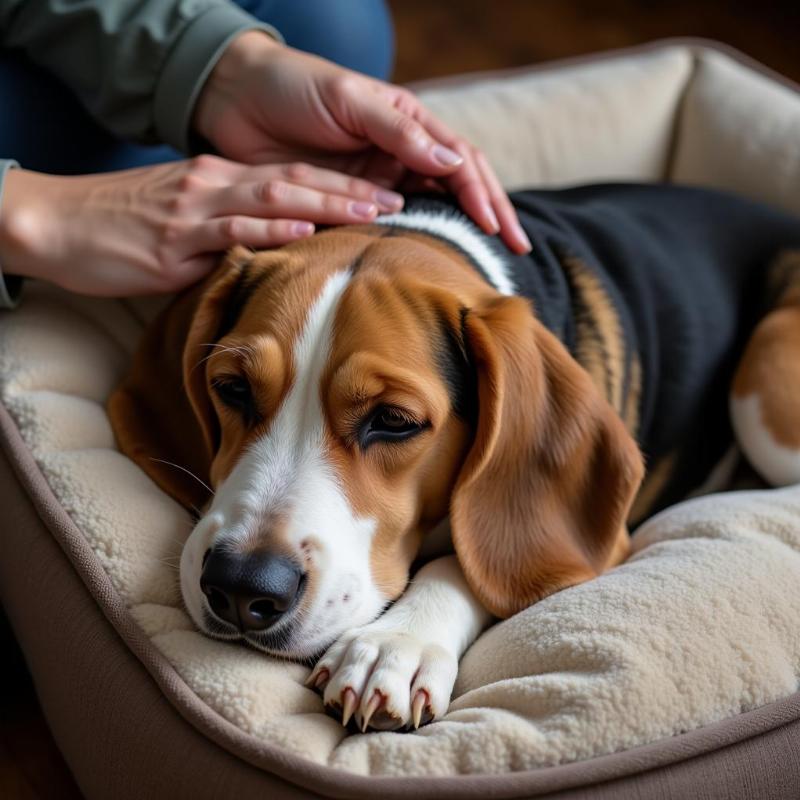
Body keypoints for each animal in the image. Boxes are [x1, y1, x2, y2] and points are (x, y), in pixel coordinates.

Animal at [109, 183, 800, 732]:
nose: (240, 587)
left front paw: (395, 644)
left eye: (394, 422)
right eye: (231, 389)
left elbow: (465, 561)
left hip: (765, 366)